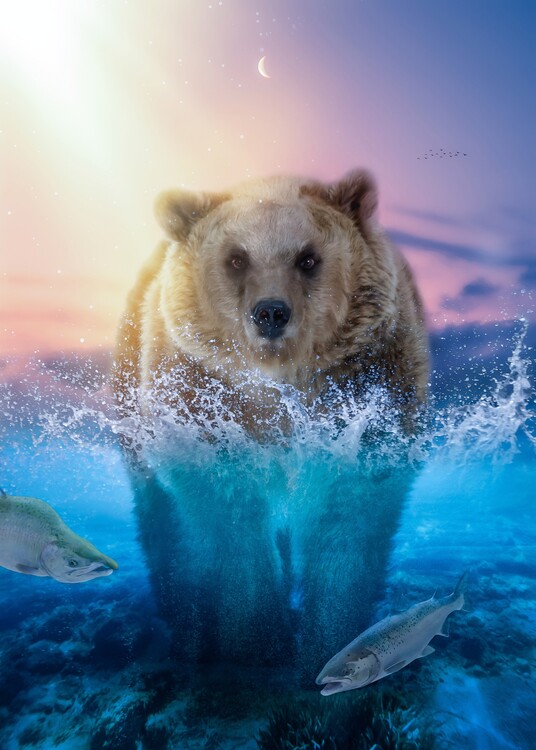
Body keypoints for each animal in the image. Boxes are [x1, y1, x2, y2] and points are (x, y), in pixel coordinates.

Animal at [111, 169, 429, 677]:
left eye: (308, 257)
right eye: (236, 258)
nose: (272, 312)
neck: (281, 384)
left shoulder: (374, 396)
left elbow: (347, 531)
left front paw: (326, 640)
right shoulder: (199, 406)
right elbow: (233, 530)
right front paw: (255, 642)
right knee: (164, 529)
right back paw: (187, 633)